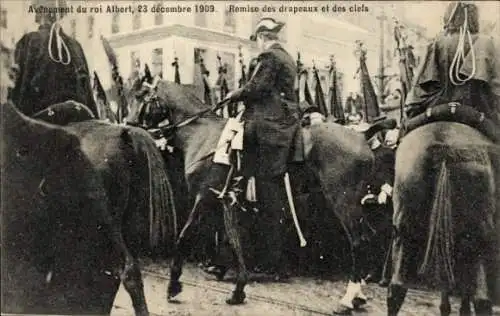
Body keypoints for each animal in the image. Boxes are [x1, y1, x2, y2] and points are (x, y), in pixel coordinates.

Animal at [129, 77, 390, 314]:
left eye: (142, 97)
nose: (129, 124)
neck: (201, 134)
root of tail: (363, 136)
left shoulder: (203, 196)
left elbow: (185, 235)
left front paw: (174, 286)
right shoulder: (224, 201)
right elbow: (231, 238)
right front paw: (236, 287)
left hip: (342, 200)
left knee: (357, 240)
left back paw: (347, 299)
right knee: (368, 236)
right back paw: (359, 295)